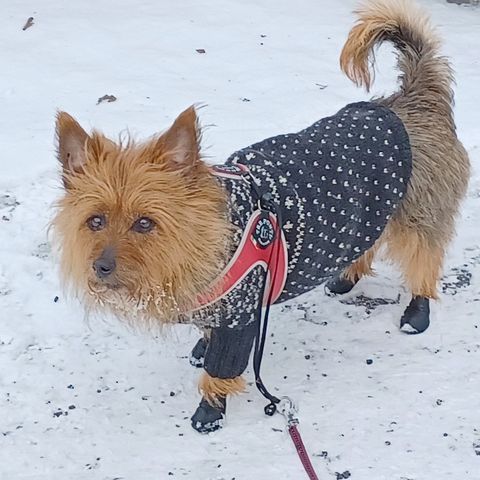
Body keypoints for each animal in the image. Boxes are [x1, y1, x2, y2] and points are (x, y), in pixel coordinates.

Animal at [52, 0, 468, 436]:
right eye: (95, 221)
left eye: (145, 223)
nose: (101, 267)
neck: (211, 234)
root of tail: (416, 98)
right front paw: (201, 348)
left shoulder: (239, 319)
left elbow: (220, 372)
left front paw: (209, 412)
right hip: (371, 210)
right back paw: (347, 277)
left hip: (421, 217)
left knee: (425, 261)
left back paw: (416, 313)